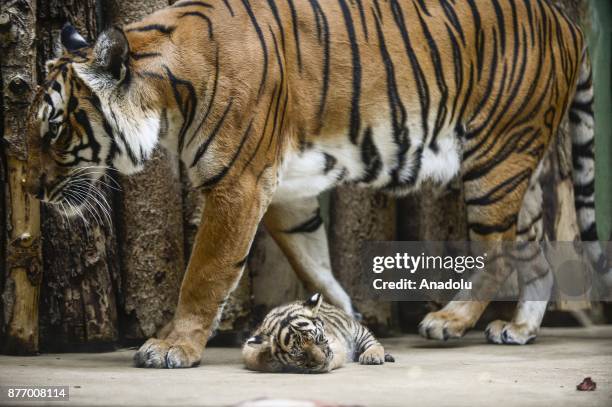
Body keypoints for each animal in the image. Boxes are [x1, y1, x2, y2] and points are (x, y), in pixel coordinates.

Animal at [25, 0, 604, 370]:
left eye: (53, 128)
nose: (31, 190)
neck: (165, 103)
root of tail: (566, 21)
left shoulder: (239, 186)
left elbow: (205, 275)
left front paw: (173, 347)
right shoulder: (289, 192)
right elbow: (314, 265)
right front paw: (339, 318)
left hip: (496, 158)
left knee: (498, 249)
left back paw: (449, 320)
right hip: (516, 166)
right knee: (536, 251)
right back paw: (519, 329)